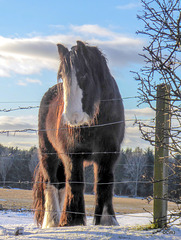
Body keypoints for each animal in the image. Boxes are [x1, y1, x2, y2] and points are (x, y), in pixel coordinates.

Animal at [33, 40, 124, 228]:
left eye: (83, 74)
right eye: (62, 76)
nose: (71, 117)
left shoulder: (108, 154)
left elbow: (104, 183)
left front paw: (107, 221)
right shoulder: (72, 154)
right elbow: (76, 183)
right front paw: (72, 220)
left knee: (61, 185)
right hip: (49, 153)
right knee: (51, 183)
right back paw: (52, 221)